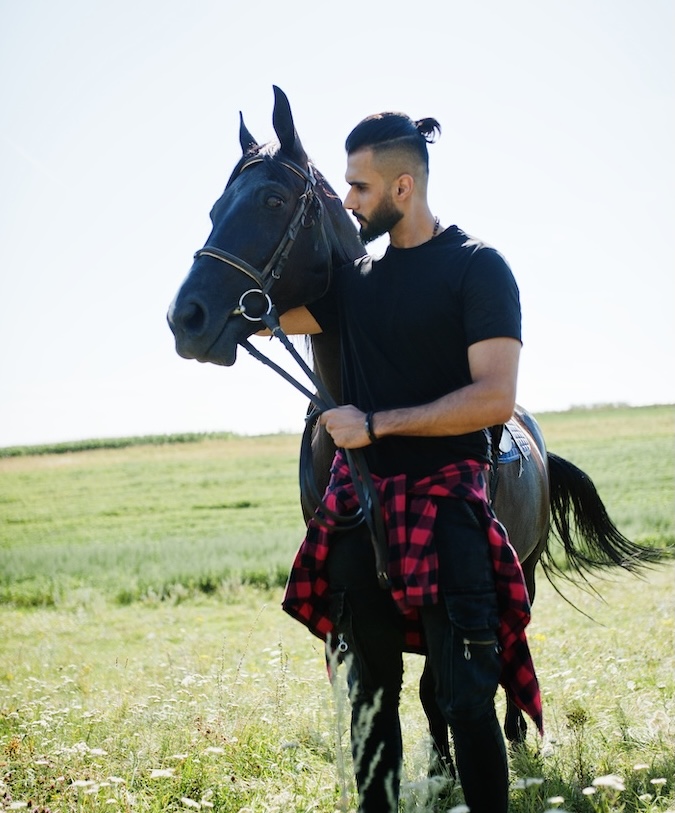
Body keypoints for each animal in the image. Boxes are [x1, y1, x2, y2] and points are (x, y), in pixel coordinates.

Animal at [169, 85, 664, 772]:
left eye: (272, 200)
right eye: (216, 208)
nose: (185, 318)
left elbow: (439, 683)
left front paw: (446, 766)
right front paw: (432, 763)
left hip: (525, 564)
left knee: (512, 648)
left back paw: (514, 734)